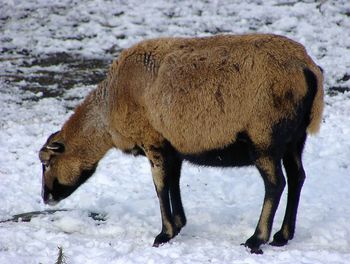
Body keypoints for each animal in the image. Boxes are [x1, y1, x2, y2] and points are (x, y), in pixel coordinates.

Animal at [38, 33, 322, 254]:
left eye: (47, 162)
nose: (45, 197)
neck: (107, 114)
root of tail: (307, 68)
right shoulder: (171, 147)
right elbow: (173, 182)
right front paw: (179, 224)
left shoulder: (152, 141)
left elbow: (160, 186)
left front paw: (164, 234)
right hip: (295, 138)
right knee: (297, 177)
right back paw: (283, 236)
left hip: (265, 138)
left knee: (276, 184)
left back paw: (256, 239)